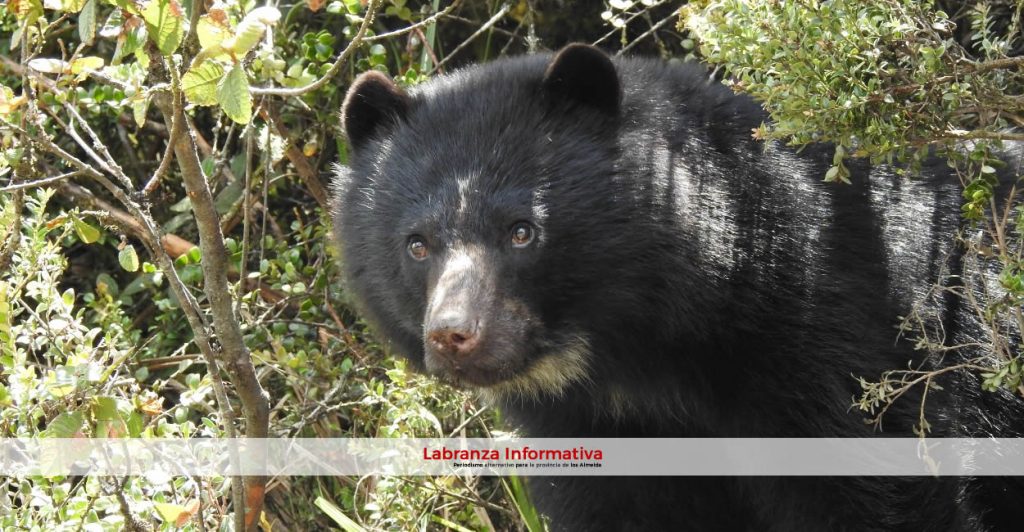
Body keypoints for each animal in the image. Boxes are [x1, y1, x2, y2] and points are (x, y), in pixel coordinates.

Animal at [331, 44, 1024, 530]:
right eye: (417, 244)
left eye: (522, 231)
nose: (454, 336)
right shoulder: (595, 426)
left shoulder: (844, 344)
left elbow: (872, 491)